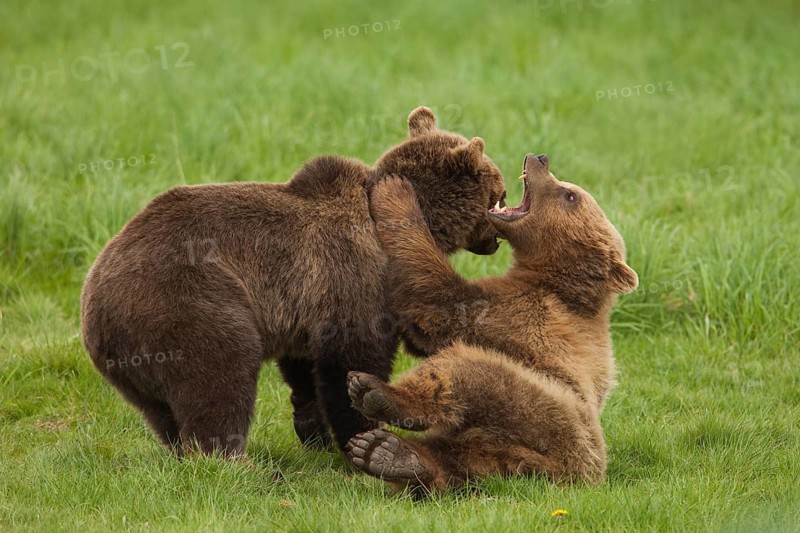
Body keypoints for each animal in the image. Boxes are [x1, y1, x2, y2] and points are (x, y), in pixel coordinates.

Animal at [80, 107, 507, 456]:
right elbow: (352, 353)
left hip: (135, 360)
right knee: (219, 376)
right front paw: (361, 432)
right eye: (500, 192)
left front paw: (313, 428)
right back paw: (235, 460)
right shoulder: (356, 273)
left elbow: (305, 366)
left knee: (161, 411)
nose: (496, 238)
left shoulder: (304, 301)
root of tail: (96, 306)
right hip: (187, 302)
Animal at [344, 153, 638, 493]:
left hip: (544, 411)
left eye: (570, 194)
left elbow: (434, 298)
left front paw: (396, 191)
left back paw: (376, 396)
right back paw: (389, 454)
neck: (554, 280)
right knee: (455, 458)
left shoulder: (517, 311)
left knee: (463, 371)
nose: (540, 158)